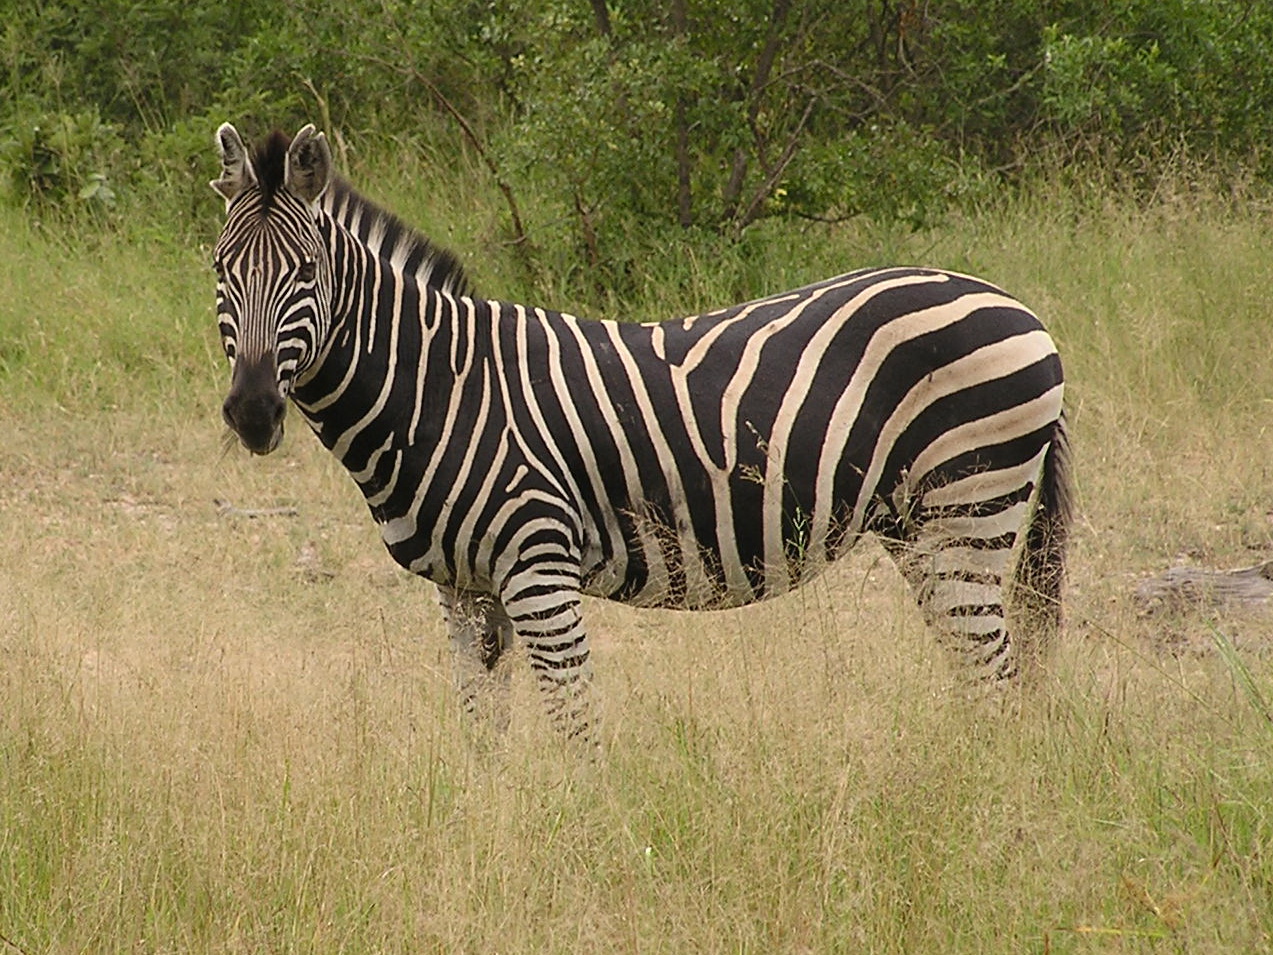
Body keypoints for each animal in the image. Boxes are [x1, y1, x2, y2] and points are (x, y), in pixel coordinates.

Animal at [213, 121, 1069, 748]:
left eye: (306, 272)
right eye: (220, 271)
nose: (252, 412)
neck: (438, 387)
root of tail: (1016, 306)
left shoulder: (537, 568)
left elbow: (576, 728)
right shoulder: (464, 590)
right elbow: (482, 735)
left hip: (967, 508)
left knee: (994, 681)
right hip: (921, 528)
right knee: (985, 678)